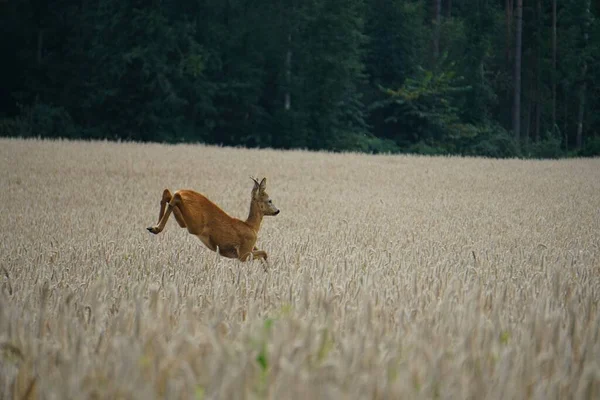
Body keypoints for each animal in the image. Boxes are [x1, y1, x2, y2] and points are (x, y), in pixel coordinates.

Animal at [149, 177, 282, 268]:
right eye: (270, 200)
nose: (277, 211)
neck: (251, 226)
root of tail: (183, 191)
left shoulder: (251, 248)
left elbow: (263, 254)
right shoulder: (244, 253)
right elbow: (265, 253)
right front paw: (267, 271)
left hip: (185, 222)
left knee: (168, 194)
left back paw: (154, 227)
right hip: (195, 224)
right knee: (175, 196)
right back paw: (156, 227)